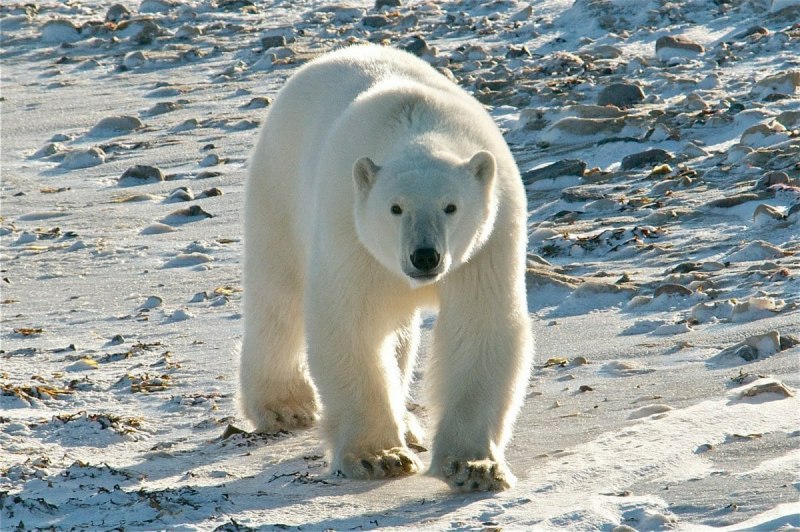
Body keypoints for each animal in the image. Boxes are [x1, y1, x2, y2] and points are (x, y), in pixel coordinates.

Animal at [240, 44, 533, 492]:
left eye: (451, 206)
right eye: (395, 208)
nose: (425, 256)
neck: (418, 123)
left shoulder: (488, 243)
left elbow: (479, 325)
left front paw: (474, 466)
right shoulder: (350, 231)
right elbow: (352, 323)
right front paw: (378, 457)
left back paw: (408, 422)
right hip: (279, 186)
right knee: (278, 296)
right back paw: (284, 404)